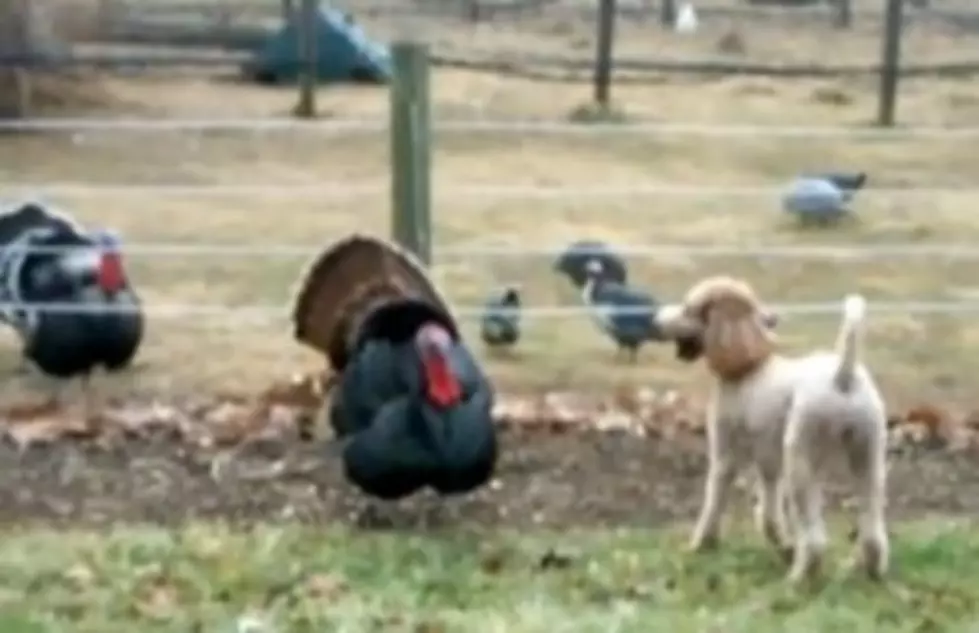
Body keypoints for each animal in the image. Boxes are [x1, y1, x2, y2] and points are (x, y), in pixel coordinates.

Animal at [656, 276, 892, 584]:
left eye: (688, 309)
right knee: (873, 532)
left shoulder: (726, 456)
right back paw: (868, 571)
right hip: (868, 457)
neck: (749, 364)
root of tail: (842, 376)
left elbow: (714, 502)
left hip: (801, 460)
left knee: (815, 540)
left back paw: (799, 578)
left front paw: (700, 545)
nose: (655, 319)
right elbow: (768, 514)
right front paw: (784, 547)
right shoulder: (769, 464)